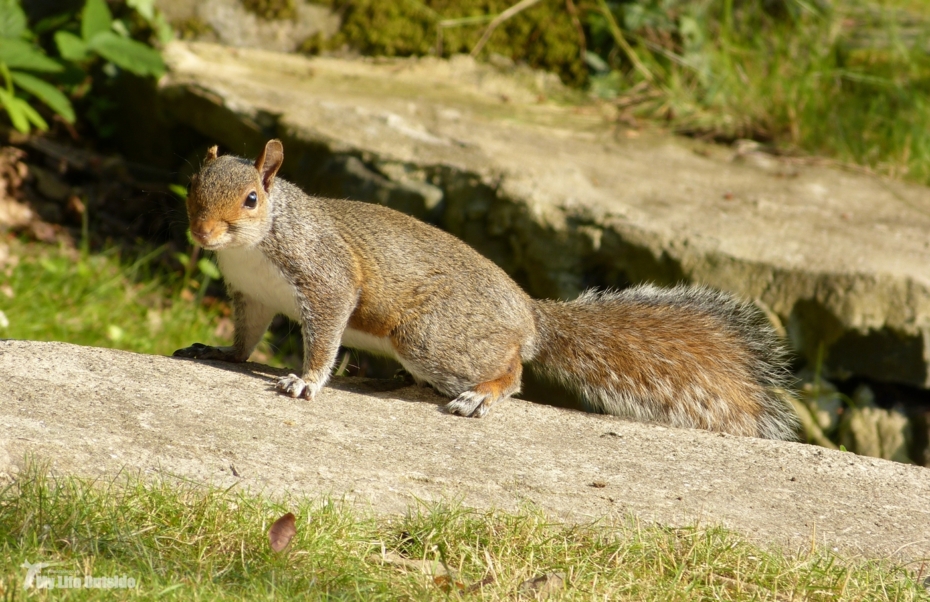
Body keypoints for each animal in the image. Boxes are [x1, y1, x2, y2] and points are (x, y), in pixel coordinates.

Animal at [174, 141, 796, 440]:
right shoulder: (252, 296)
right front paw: (219, 350)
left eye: (252, 198)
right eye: (192, 184)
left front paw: (305, 379)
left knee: (513, 371)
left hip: (431, 335)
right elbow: (246, 338)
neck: (253, 249)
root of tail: (529, 316)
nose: (201, 233)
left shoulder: (326, 277)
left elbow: (325, 335)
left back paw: (479, 394)